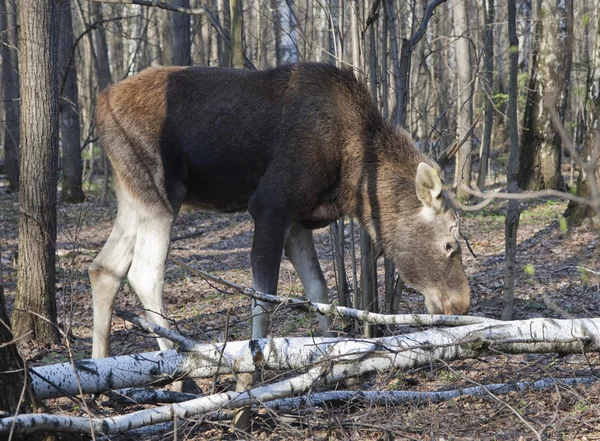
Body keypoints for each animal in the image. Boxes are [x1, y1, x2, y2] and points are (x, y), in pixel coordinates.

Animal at [91, 62, 472, 360]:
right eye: (449, 244)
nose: (461, 305)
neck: (353, 181)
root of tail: (100, 104)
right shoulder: (269, 205)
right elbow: (263, 300)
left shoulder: (298, 219)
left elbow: (319, 290)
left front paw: (332, 355)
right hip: (160, 190)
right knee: (144, 273)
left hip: (131, 192)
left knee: (104, 267)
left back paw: (99, 369)